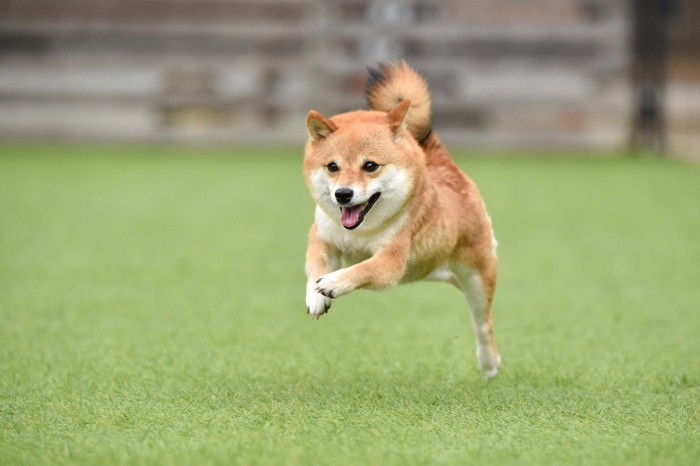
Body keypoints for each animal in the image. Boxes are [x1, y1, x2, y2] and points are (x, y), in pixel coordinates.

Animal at [304, 61, 500, 378]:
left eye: (370, 166)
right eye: (332, 167)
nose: (343, 194)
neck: (360, 232)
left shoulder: (391, 260)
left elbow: (364, 269)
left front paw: (333, 283)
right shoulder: (323, 238)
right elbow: (316, 265)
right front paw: (315, 296)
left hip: (477, 278)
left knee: (483, 323)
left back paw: (490, 363)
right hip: (438, 271)